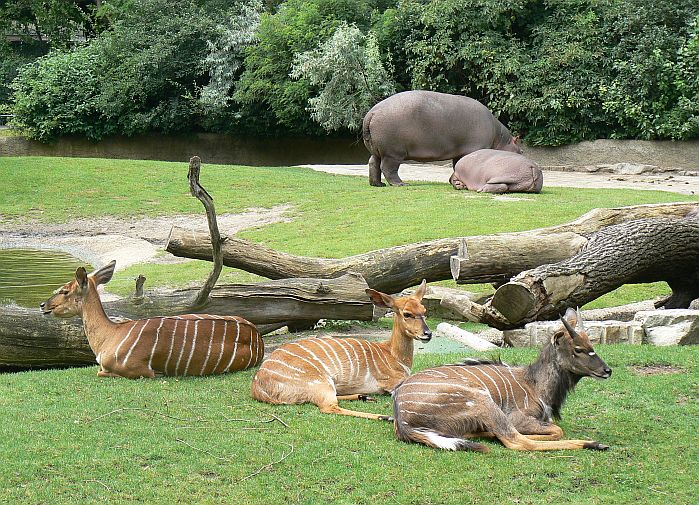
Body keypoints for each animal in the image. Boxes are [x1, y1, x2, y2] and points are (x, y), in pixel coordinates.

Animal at [40, 261, 263, 379]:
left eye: (64, 290)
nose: (43, 305)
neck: (110, 336)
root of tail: (257, 338)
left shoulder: (138, 371)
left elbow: (100, 372)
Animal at [251, 280, 432, 420]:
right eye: (407, 314)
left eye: (424, 311)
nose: (428, 334)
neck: (393, 355)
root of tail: (258, 388)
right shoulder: (391, 383)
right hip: (320, 381)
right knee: (329, 406)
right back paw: (385, 416)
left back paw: (365, 396)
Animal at [392, 308, 612, 452]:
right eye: (578, 349)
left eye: (591, 344)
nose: (607, 370)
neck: (534, 384)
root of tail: (402, 418)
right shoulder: (517, 417)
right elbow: (557, 431)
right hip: (483, 400)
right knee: (516, 441)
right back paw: (593, 443)